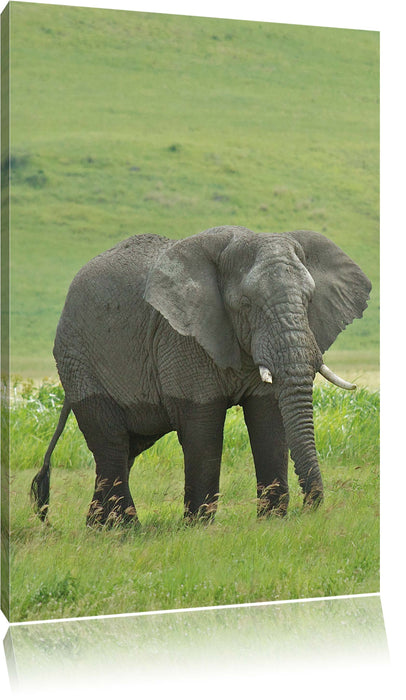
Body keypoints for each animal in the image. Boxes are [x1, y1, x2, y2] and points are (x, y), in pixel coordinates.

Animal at [31, 225, 371, 526]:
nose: (310, 508)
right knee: (111, 444)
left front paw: (272, 521)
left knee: (127, 449)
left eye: (310, 300)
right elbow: (202, 427)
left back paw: (98, 529)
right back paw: (124, 530)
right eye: (245, 304)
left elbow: (269, 420)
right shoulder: (181, 337)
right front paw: (198, 526)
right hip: (78, 359)